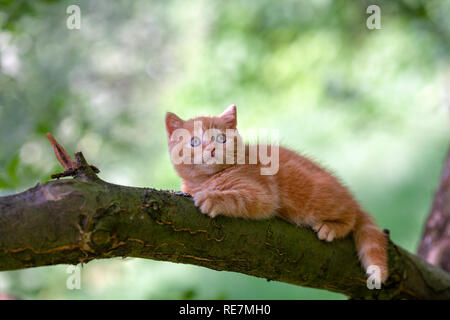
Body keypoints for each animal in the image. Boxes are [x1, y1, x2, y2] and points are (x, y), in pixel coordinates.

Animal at [164, 104, 386, 282]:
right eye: (194, 142)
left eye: (221, 138)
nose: (211, 149)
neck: (204, 180)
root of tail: (349, 195)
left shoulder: (263, 194)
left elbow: (237, 197)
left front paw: (212, 198)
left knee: (351, 216)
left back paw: (332, 226)